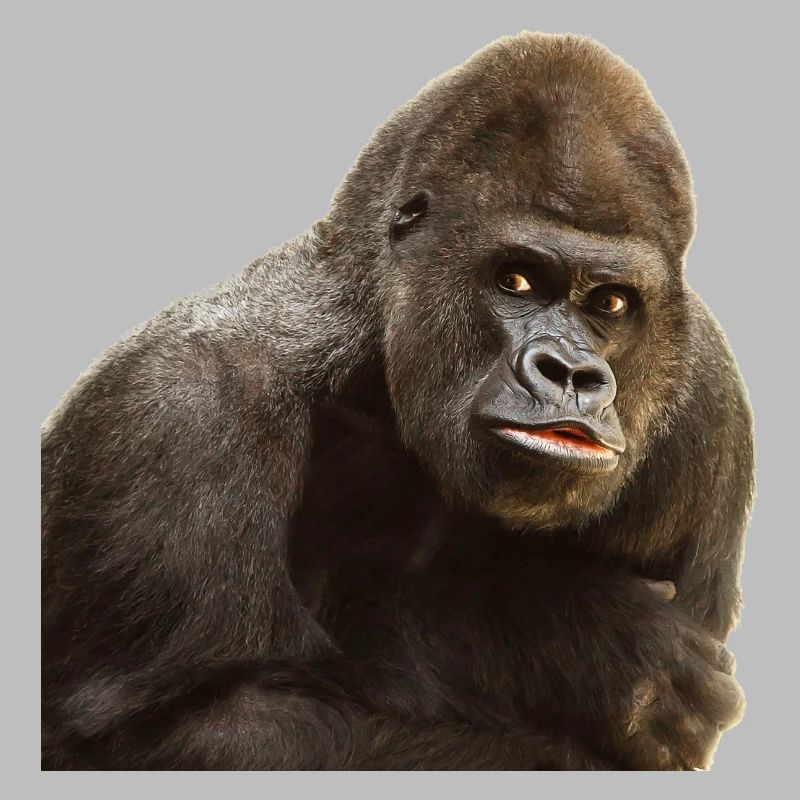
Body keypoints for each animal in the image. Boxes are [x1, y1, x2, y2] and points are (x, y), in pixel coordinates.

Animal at [41, 32, 754, 770]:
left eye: (610, 303)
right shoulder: (181, 408)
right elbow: (167, 732)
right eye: (517, 280)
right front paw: (564, 637)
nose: (571, 373)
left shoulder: (710, 409)